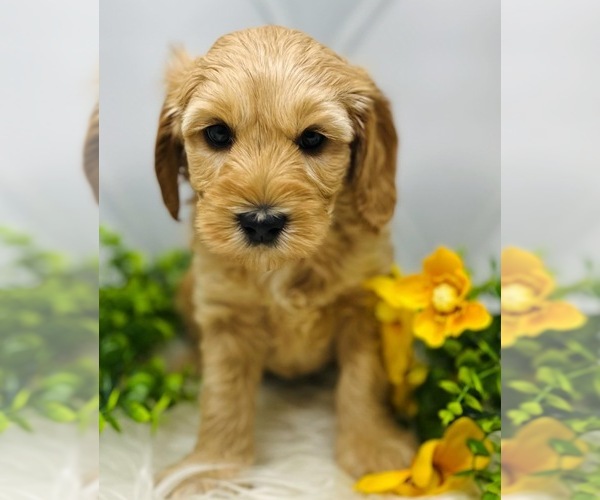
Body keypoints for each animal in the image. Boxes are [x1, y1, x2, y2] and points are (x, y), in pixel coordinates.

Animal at [154, 26, 412, 496]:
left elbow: (362, 382)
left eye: (312, 139)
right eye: (217, 134)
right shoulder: (226, 317)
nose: (261, 221)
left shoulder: (362, 308)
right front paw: (208, 469)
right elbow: (222, 397)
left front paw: (372, 450)